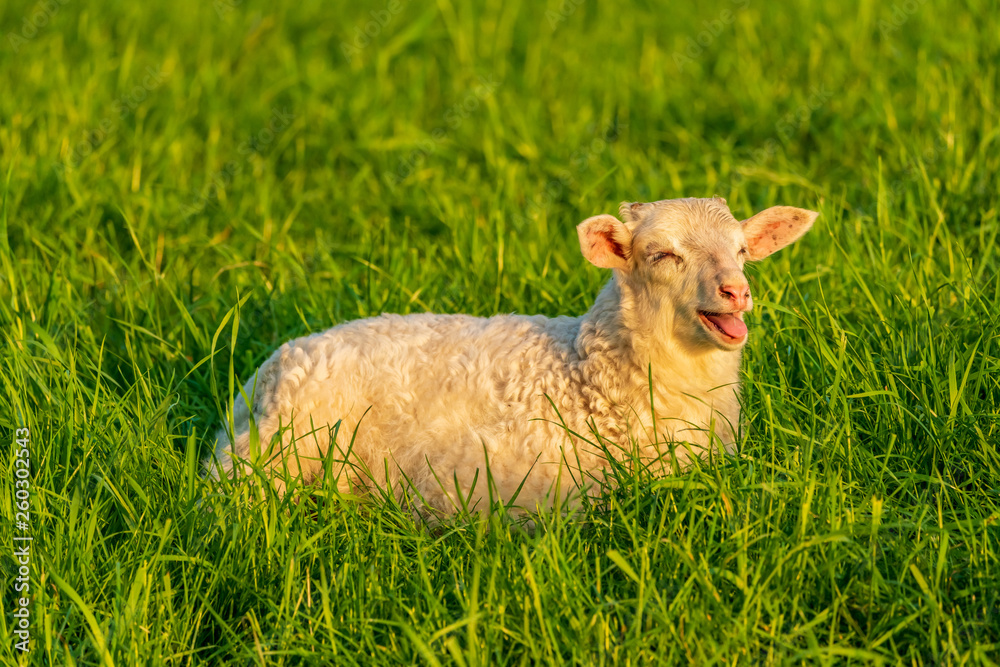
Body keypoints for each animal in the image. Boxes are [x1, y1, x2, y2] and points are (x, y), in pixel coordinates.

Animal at [205, 197, 817, 516]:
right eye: (663, 255)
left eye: (743, 250)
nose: (737, 291)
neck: (588, 373)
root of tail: (260, 378)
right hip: (275, 456)